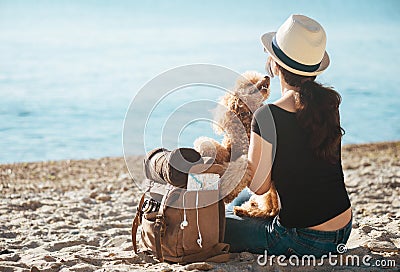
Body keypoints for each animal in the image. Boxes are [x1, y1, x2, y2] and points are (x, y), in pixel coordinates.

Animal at [193, 71, 278, 218]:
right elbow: (209, 144)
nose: (267, 77)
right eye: (249, 83)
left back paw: (249, 210)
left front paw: (227, 193)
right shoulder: (228, 151)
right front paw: (203, 149)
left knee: (268, 207)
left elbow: (242, 166)